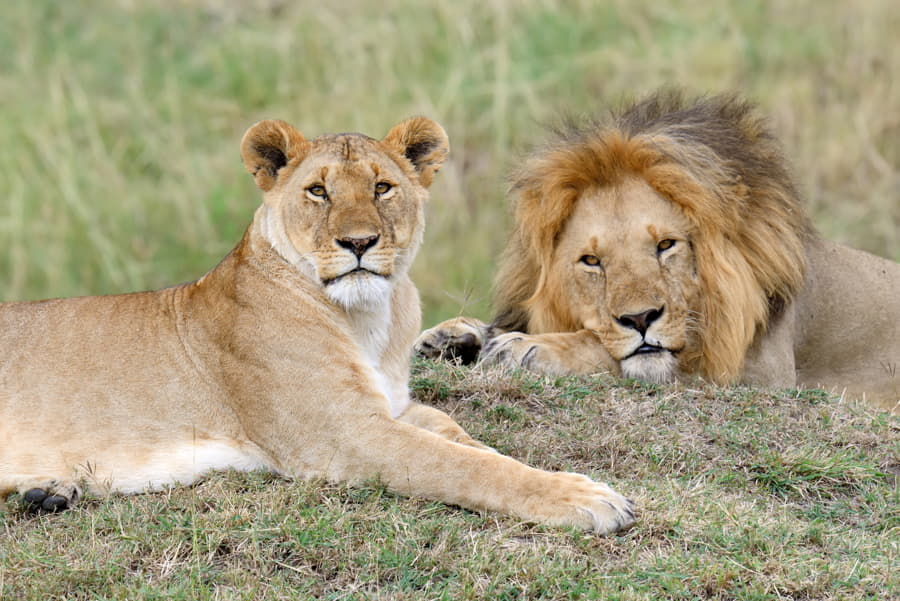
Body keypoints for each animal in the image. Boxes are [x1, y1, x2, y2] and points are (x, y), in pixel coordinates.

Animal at [0, 117, 635, 534]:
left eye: (382, 187)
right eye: (318, 191)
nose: (358, 242)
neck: (370, 319)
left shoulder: (392, 407)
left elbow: (464, 441)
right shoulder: (344, 434)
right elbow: (460, 465)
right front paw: (586, 497)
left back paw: (49, 490)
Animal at [416, 91, 900, 412]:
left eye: (666, 245)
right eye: (592, 261)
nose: (640, 319)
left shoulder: (757, 376)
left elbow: (611, 352)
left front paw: (527, 348)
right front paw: (454, 336)